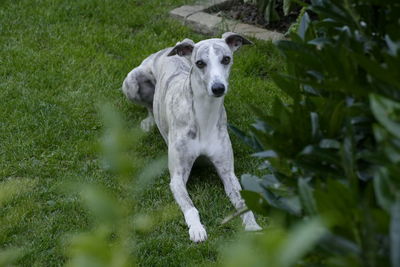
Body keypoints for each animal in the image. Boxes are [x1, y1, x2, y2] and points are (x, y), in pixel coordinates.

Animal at [122, 32, 262, 244]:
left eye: (226, 59)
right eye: (200, 63)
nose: (218, 88)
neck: (205, 116)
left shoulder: (228, 173)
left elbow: (242, 203)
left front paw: (252, 225)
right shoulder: (177, 177)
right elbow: (190, 206)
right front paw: (197, 229)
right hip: (131, 81)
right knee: (149, 106)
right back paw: (148, 122)